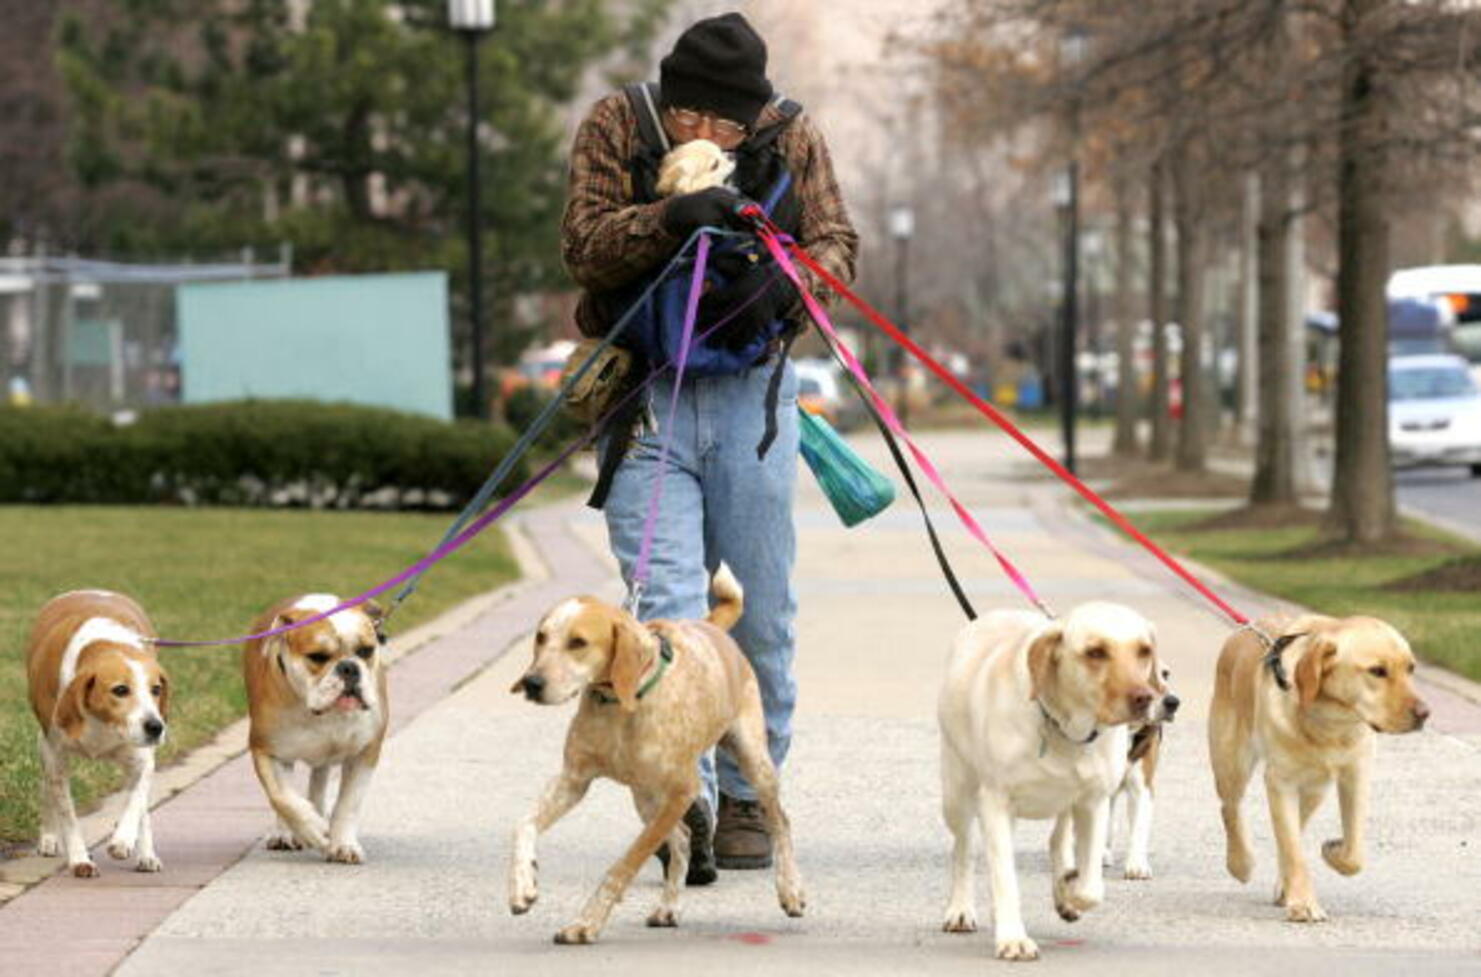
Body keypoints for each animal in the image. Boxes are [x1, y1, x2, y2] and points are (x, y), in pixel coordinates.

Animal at [26, 589, 169, 876]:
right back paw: (48, 837)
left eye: (156, 689)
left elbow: (136, 800)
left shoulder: (143, 758)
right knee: (46, 789)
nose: (156, 727)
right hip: (44, 750)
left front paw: (124, 839)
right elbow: (67, 814)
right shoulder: (55, 757)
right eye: (120, 690)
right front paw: (79, 858)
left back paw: (145, 852)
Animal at [242, 595, 385, 864]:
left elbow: (349, 803)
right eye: (317, 657)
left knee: (319, 779)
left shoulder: (365, 752)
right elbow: (281, 797)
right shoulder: (265, 749)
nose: (349, 667)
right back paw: (287, 832)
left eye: (366, 651)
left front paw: (343, 844)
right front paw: (312, 828)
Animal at [941, 603, 1161, 959]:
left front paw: (1069, 892)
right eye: (1095, 652)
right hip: (957, 793)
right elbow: (1004, 877)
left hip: (1067, 802)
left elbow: (1091, 887)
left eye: (1144, 651)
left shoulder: (1094, 802)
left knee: (1058, 840)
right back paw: (960, 909)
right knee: (963, 848)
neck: (1066, 729)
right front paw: (1013, 938)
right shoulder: (996, 803)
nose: (1145, 698)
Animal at [1208, 615, 1427, 917]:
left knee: (1293, 832)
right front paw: (1303, 903)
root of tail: (1246, 628)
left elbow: (1353, 853)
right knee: (1230, 808)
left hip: (1315, 789)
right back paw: (1240, 864)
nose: (1425, 714)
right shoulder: (1281, 783)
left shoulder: (1355, 775)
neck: (1330, 724)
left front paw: (1333, 851)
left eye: (1411, 668)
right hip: (1232, 762)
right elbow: (1293, 849)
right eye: (1377, 671)